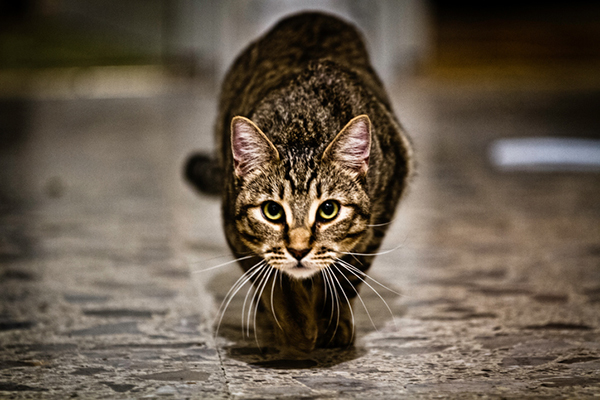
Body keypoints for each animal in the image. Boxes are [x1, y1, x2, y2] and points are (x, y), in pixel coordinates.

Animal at [186, 10, 412, 352]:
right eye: (272, 211)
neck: (302, 126)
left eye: (329, 210)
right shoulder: (234, 227)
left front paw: (332, 322)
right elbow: (275, 283)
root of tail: (313, 13)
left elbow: (346, 276)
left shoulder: (380, 213)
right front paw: (297, 327)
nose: (299, 249)